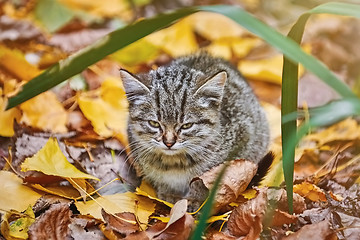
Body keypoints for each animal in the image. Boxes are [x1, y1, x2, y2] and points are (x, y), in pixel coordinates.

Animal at [121, 53, 270, 202]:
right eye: (154, 124)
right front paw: (169, 194)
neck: (174, 164)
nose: (169, 143)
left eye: (187, 125)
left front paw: (195, 199)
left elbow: (202, 181)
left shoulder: (242, 144)